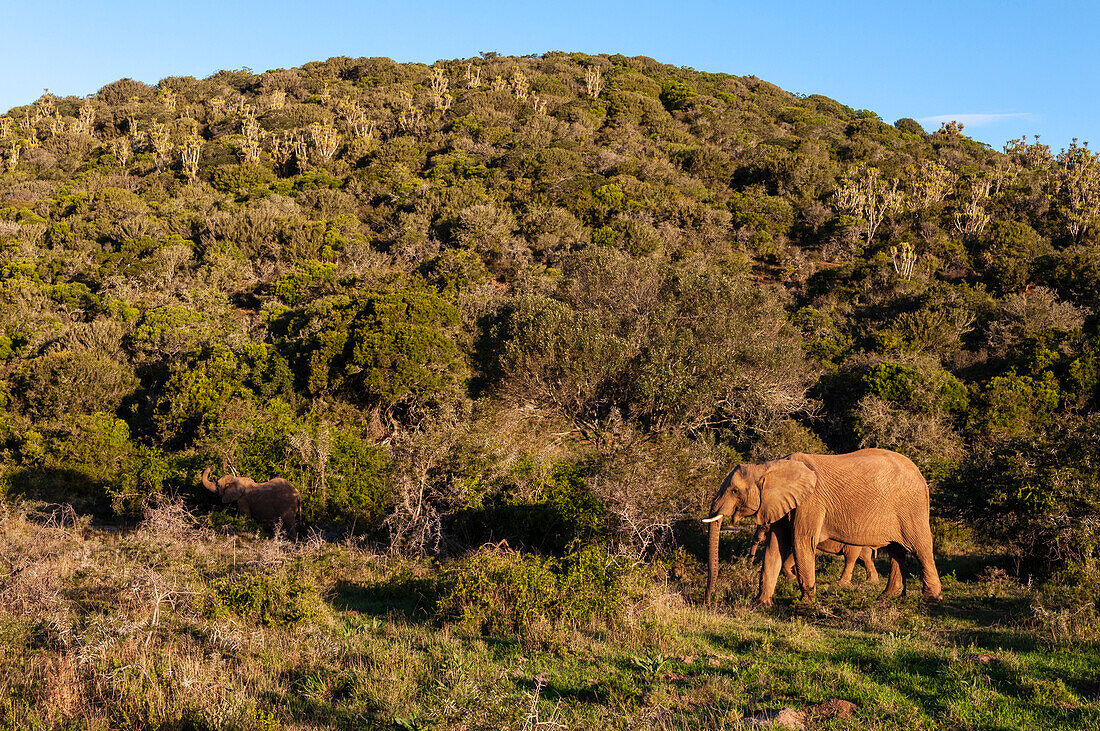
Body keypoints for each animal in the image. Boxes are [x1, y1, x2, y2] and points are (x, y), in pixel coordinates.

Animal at [699, 448, 941, 606]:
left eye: (734, 491)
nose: (708, 601)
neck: (771, 466)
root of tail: (920, 473)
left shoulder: (811, 502)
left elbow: (801, 542)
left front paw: (806, 604)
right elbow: (776, 546)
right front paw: (760, 604)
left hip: (912, 507)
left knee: (920, 548)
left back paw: (930, 599)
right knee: (895, 550)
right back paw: (888, 596)